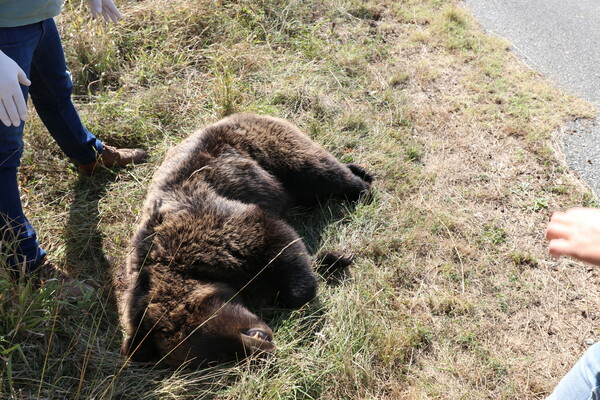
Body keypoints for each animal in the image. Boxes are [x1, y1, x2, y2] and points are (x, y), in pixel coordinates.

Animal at [119, 113, 372, 368]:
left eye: (219, 349)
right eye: (217, 359)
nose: (264, 349)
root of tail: (239, 115)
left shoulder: (213, 227)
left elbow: (277, 241)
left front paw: (294, 290)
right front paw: (332, 258)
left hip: (271, 153)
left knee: (318, 174)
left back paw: (362, 188)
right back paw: (359, 169)